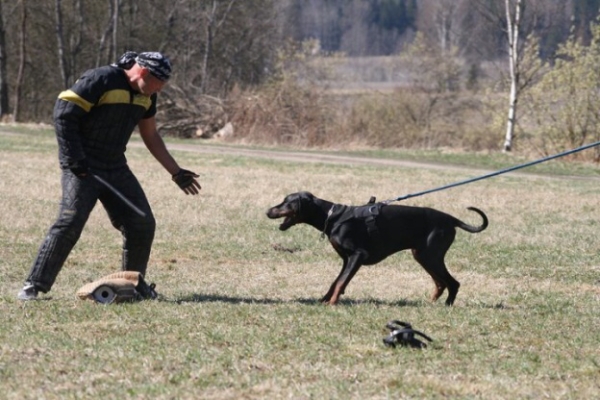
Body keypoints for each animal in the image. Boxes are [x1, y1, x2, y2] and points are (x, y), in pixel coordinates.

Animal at [268, 192, 488, 304]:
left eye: (286, 202)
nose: (268, 211)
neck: (333, 216)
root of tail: (451, 219)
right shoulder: (347, 259)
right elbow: (336, 281)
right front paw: (324, 300)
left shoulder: (358, 255)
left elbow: (341, 282)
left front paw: (331, 304)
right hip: (422, 255)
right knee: (441, 283)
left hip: (430, 255)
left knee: (453, 283)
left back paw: (447, 305)